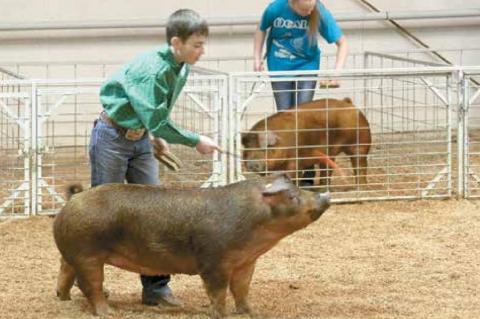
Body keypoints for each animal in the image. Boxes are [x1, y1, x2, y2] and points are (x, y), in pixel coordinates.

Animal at [52, 176, 330, 318]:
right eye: (292, 196)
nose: (325, 195)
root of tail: (74, 197)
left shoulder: (246, 262)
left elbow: (242, 289)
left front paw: (252, 313)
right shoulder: (214, 261)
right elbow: (218, 291)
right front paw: (221, 315)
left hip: (73, 253)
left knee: (65, 271)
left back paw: (63, 299)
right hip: (87, 253)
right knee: (91, 285)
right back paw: (107, 312)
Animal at [242, 99, 374, 186]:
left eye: (266, 148)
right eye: (247, 147)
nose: (252, 163)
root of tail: (349, 103)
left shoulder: (294, 160)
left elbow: (292, 175)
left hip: (361, 143)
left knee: (360, 166)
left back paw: (361, 188)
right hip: (329, 153)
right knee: (327, 169)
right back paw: (322, 186)